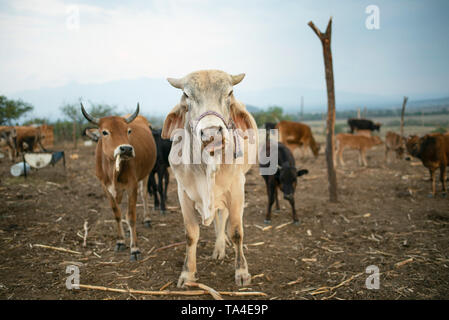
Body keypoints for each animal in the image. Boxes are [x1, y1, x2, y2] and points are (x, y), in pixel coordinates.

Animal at [81, 104, 157, 262]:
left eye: (128, 130)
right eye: (104, 132)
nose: (126, 149)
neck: (112, 170)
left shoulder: (132, 186)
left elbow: (131, 216)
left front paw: (135, 249)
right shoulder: (105, 188)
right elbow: (117, 214)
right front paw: (120, 241)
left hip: (146, 174)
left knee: (144, 195)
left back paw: (147, 219)